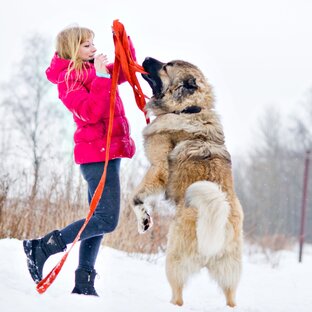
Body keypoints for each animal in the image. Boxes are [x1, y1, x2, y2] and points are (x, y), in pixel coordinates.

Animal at [132, 56, 244, 308]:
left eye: (167, 66)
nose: (146, 58)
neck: (188, 109)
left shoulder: (158, 168)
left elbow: (137, 196)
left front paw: (144, 219)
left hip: (173, 259)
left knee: (178, 295)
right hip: (230, 270)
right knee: (231, 297)